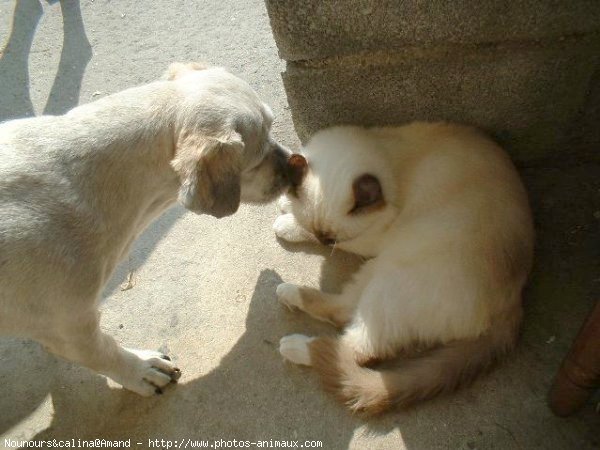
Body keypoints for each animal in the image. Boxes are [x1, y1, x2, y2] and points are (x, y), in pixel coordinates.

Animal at [0, 62, 290, 394]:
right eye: (257, 158)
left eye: (272, 128)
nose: (298, 166)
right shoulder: (69, 327)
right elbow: (105, 352)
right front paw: (141, 370)